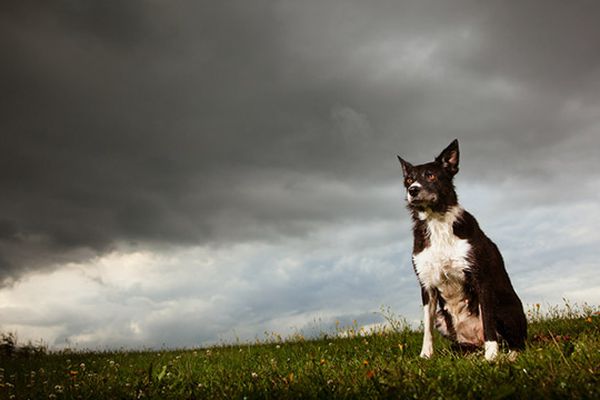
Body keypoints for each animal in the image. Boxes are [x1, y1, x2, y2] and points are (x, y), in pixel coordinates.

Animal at [398, 139, 524, 360]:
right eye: (409, 179)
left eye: (431, 175)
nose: (412, 190)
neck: (437, 222)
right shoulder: (426, 284)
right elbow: (427, 329)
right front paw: (425, 356)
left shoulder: (481, 279)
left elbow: (488, 324)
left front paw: (491, 357)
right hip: (443, 318)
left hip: (502, 307)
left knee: (516, 343)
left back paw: (506, 355)